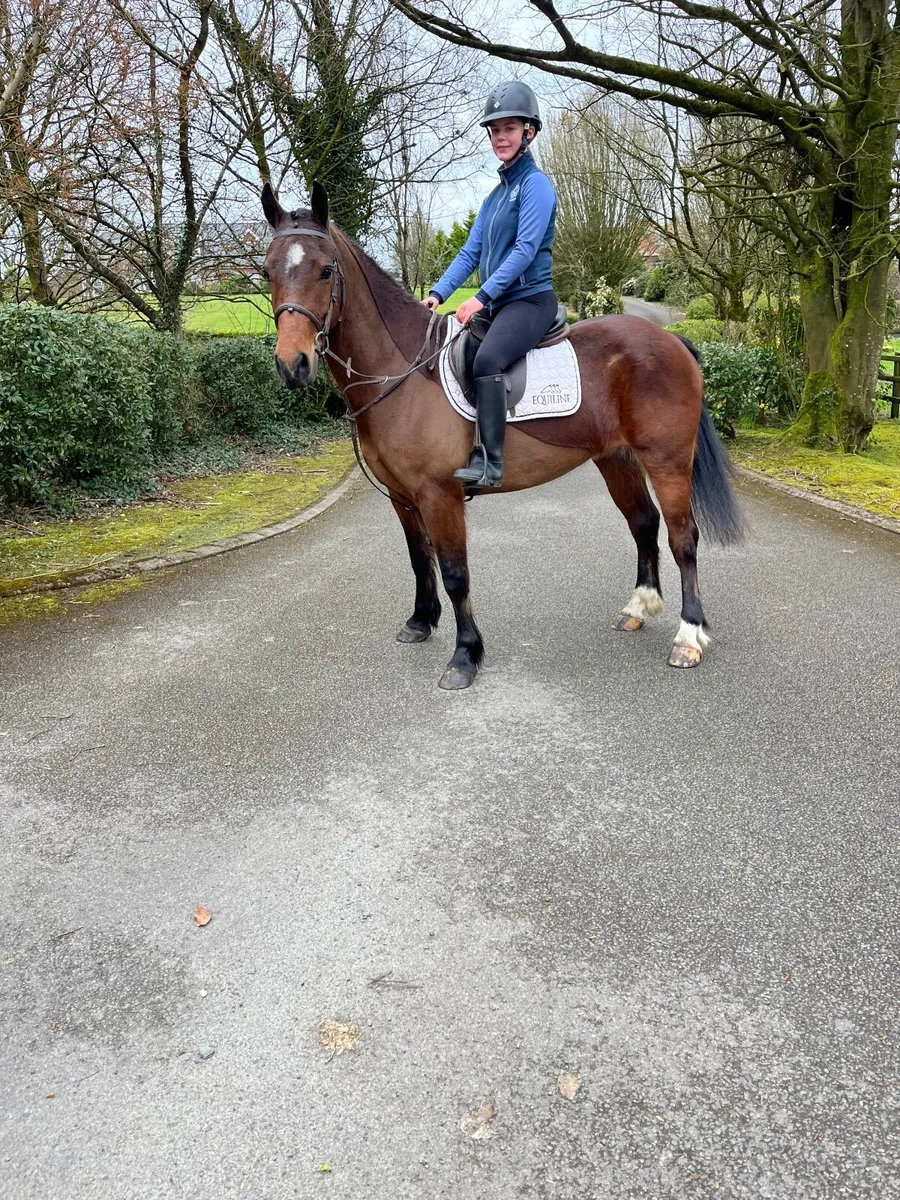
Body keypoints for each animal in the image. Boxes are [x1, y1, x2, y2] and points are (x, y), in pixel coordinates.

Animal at [261, 181, 743, 690]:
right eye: (266, 270)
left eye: (325, 270)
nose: (292, 365)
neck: (404, 369)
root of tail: (672, 342)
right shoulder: (402, 496)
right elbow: (418, 558)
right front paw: (420, 621)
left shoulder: (439, 495)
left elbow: (455, 572)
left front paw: (464, 656)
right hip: (617, 458)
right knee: (644, 523)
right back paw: (639, 607)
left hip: (667, 460)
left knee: (682, 537)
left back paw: (688, 636)